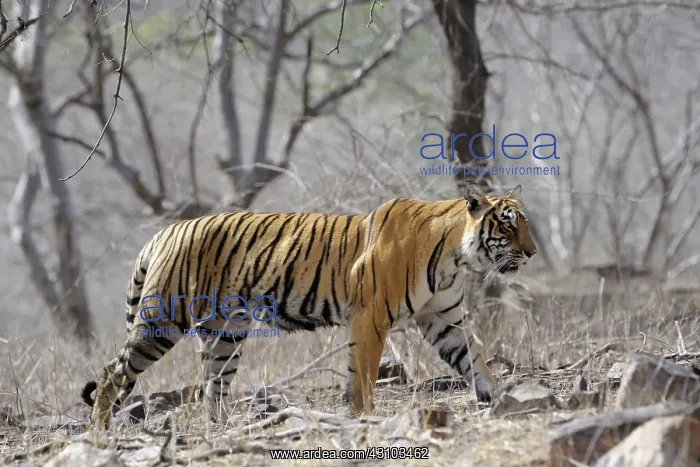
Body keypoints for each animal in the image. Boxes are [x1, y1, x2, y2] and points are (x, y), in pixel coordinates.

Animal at [81, 184, 537, 430]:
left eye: (524, 224)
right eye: (508, 225)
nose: (532, 253)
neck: (455, 256)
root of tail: (166, 231)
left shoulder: (443, 320)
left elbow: (476, 360)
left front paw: (501, 400)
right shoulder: (371, 317)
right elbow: (364, 376)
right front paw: (365, 418)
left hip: (225, 334)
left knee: (212, 388)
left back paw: (224, 432)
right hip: (163, 321)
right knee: (112, 374)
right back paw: (102, 434)